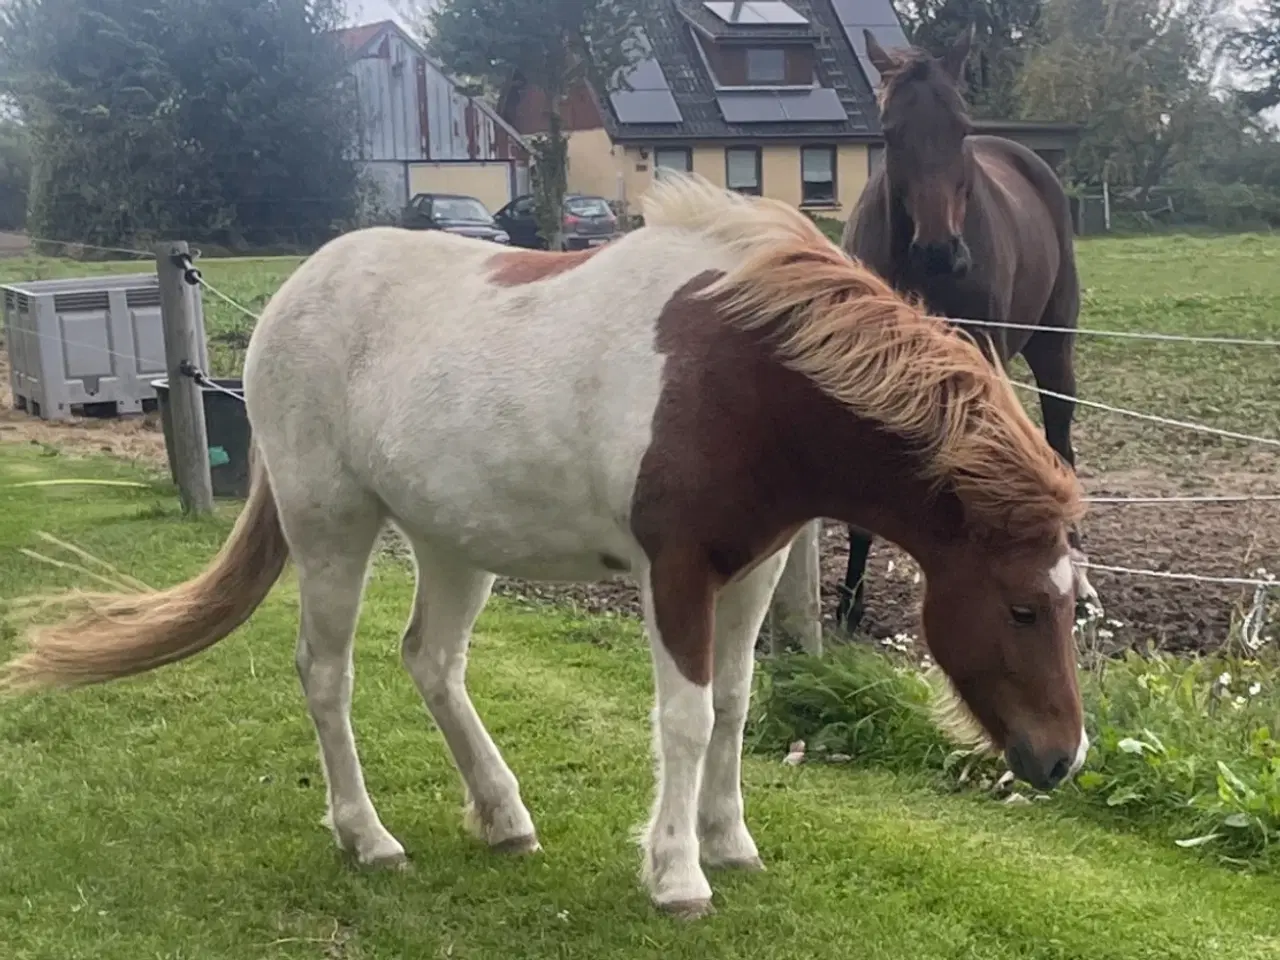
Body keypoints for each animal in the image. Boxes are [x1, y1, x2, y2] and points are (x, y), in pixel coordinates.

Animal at [834, 26, 1095, 634]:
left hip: (1053, 353)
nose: (939, 251)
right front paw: (851, 602)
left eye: (960, 127)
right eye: (889, 132)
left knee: (1060, 445)